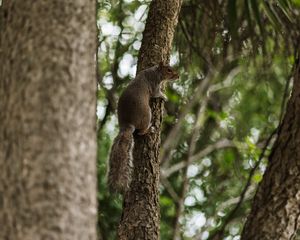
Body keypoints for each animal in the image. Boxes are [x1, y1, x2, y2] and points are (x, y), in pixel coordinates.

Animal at [107, 61, 178, 193]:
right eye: (169, 70)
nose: (178, 76)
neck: (155, 71)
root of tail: (127, 124)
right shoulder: (154, 85)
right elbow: (157, 94)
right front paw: (164, 96)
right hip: (147, 114)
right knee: (141, 132)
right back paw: (150, 128)